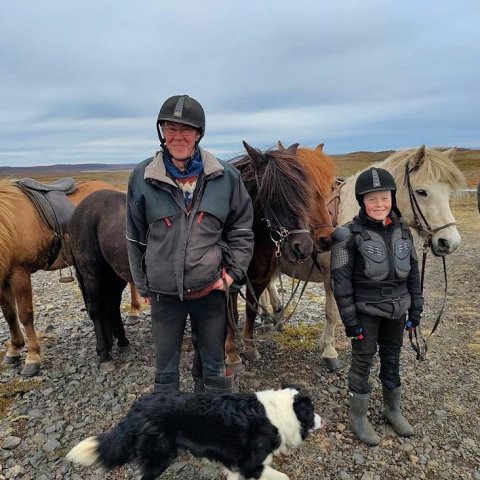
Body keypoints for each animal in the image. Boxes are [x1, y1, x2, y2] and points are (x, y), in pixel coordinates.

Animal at [0, 179, 124, 376]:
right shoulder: (4, 278)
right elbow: (10, 315)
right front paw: (15, 351)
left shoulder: (19, 273)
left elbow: (25, 315)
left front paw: (32, 357)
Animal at [224, 142, 334, 368]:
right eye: (272, 194)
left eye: (304, 193)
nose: (303, 247)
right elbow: (232, 314)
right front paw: (231, 354)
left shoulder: (260, 277)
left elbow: (251, 310)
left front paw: (250, 347)